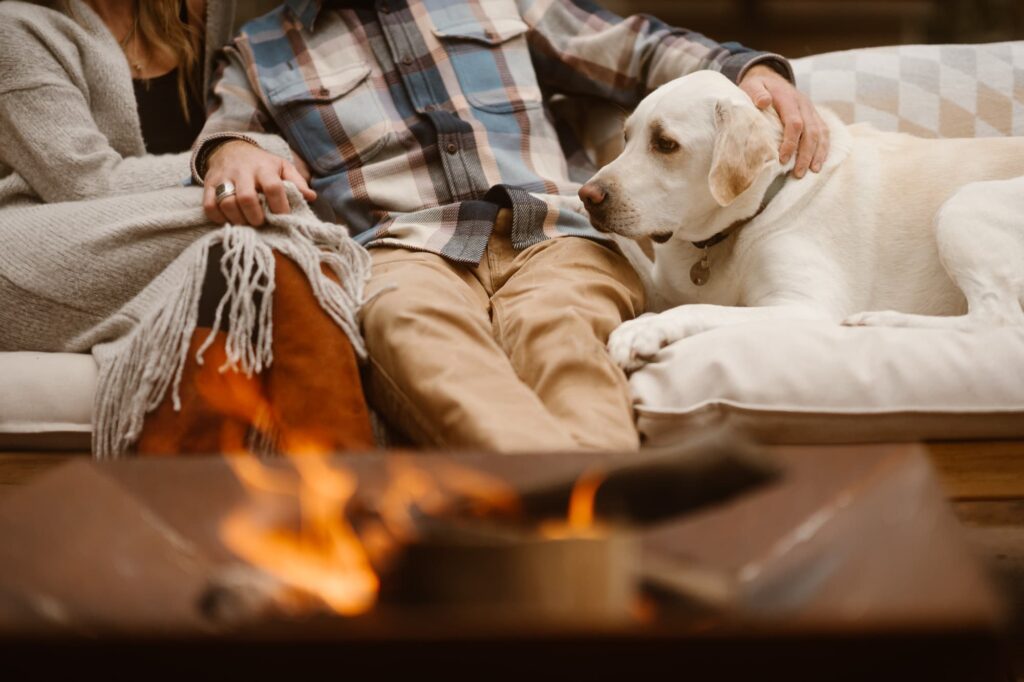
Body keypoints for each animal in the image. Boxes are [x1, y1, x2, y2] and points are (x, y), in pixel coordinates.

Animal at [581, 71, 1024, 368]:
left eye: (665, 144)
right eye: (626, 138)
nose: (589, 196)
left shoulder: (803, 308)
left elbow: (697, 310)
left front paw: (642, 330)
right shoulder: (660, 287)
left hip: (961, 206)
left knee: (997, 322)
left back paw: (879, 321)